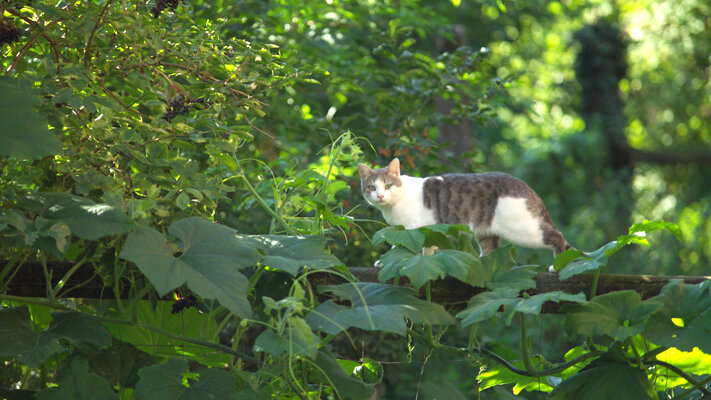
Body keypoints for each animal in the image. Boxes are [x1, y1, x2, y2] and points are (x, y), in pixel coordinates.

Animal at [356, 158, 572, 260]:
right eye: (372, 187)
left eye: (388, 185)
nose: (380, 196)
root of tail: (525, 186)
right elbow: (426, 250)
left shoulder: (412, 230)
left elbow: (402, 247)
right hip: (486, 232)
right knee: (491, 251)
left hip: (522, 229)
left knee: (557, 235)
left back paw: (556, 265)